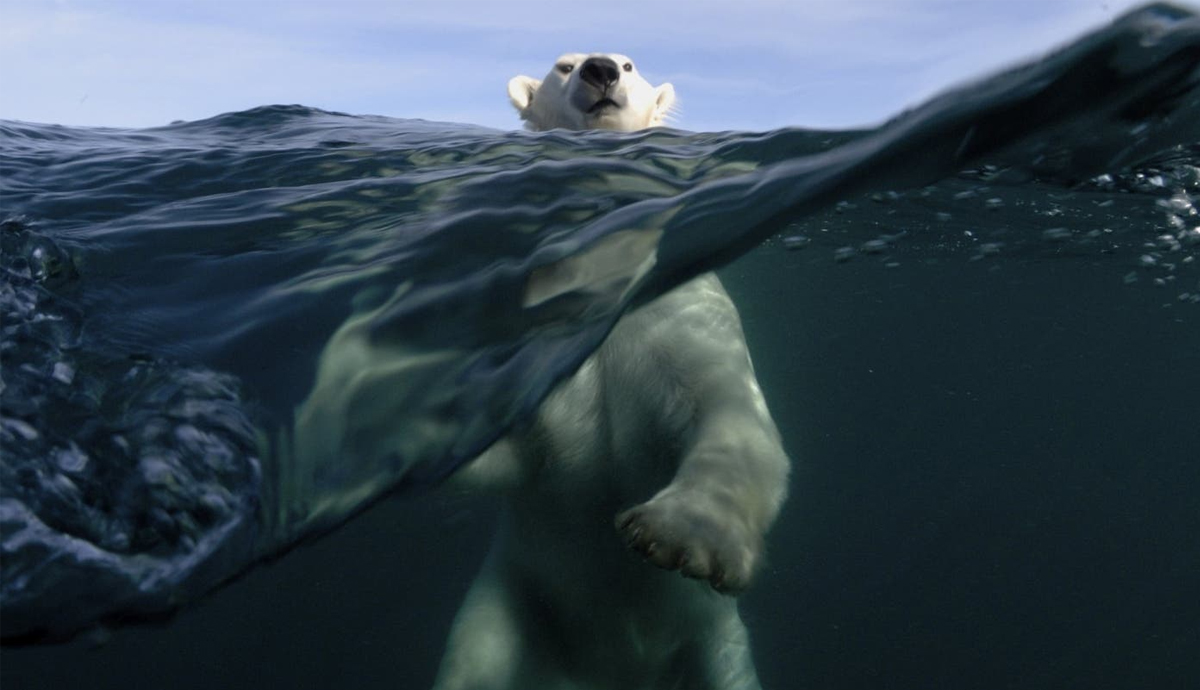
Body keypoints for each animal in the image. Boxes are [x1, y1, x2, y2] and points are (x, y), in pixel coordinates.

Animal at [432, 55, 787, 690]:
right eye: (563, 66)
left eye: (629, 64)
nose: (599, 71)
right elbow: (510, 455)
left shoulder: (677, 313)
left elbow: (728, 410)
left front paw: (680, 535)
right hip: (513, 599)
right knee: (473, 662)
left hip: (713, 640)